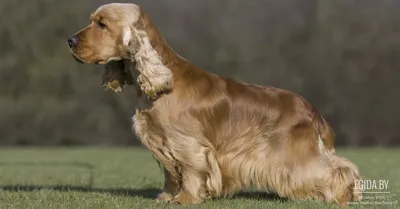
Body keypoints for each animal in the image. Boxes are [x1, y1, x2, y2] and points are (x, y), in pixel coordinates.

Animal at [68, 2, 362, 207]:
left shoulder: (187, 144)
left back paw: (343, 197)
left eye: (102, 24)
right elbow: (170, 173)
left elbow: (189, 171)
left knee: (338, 170)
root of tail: (313, 111)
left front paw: (185, 199)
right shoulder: (162, 142)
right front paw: (166, 197)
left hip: (296, 155)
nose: (70, 40)